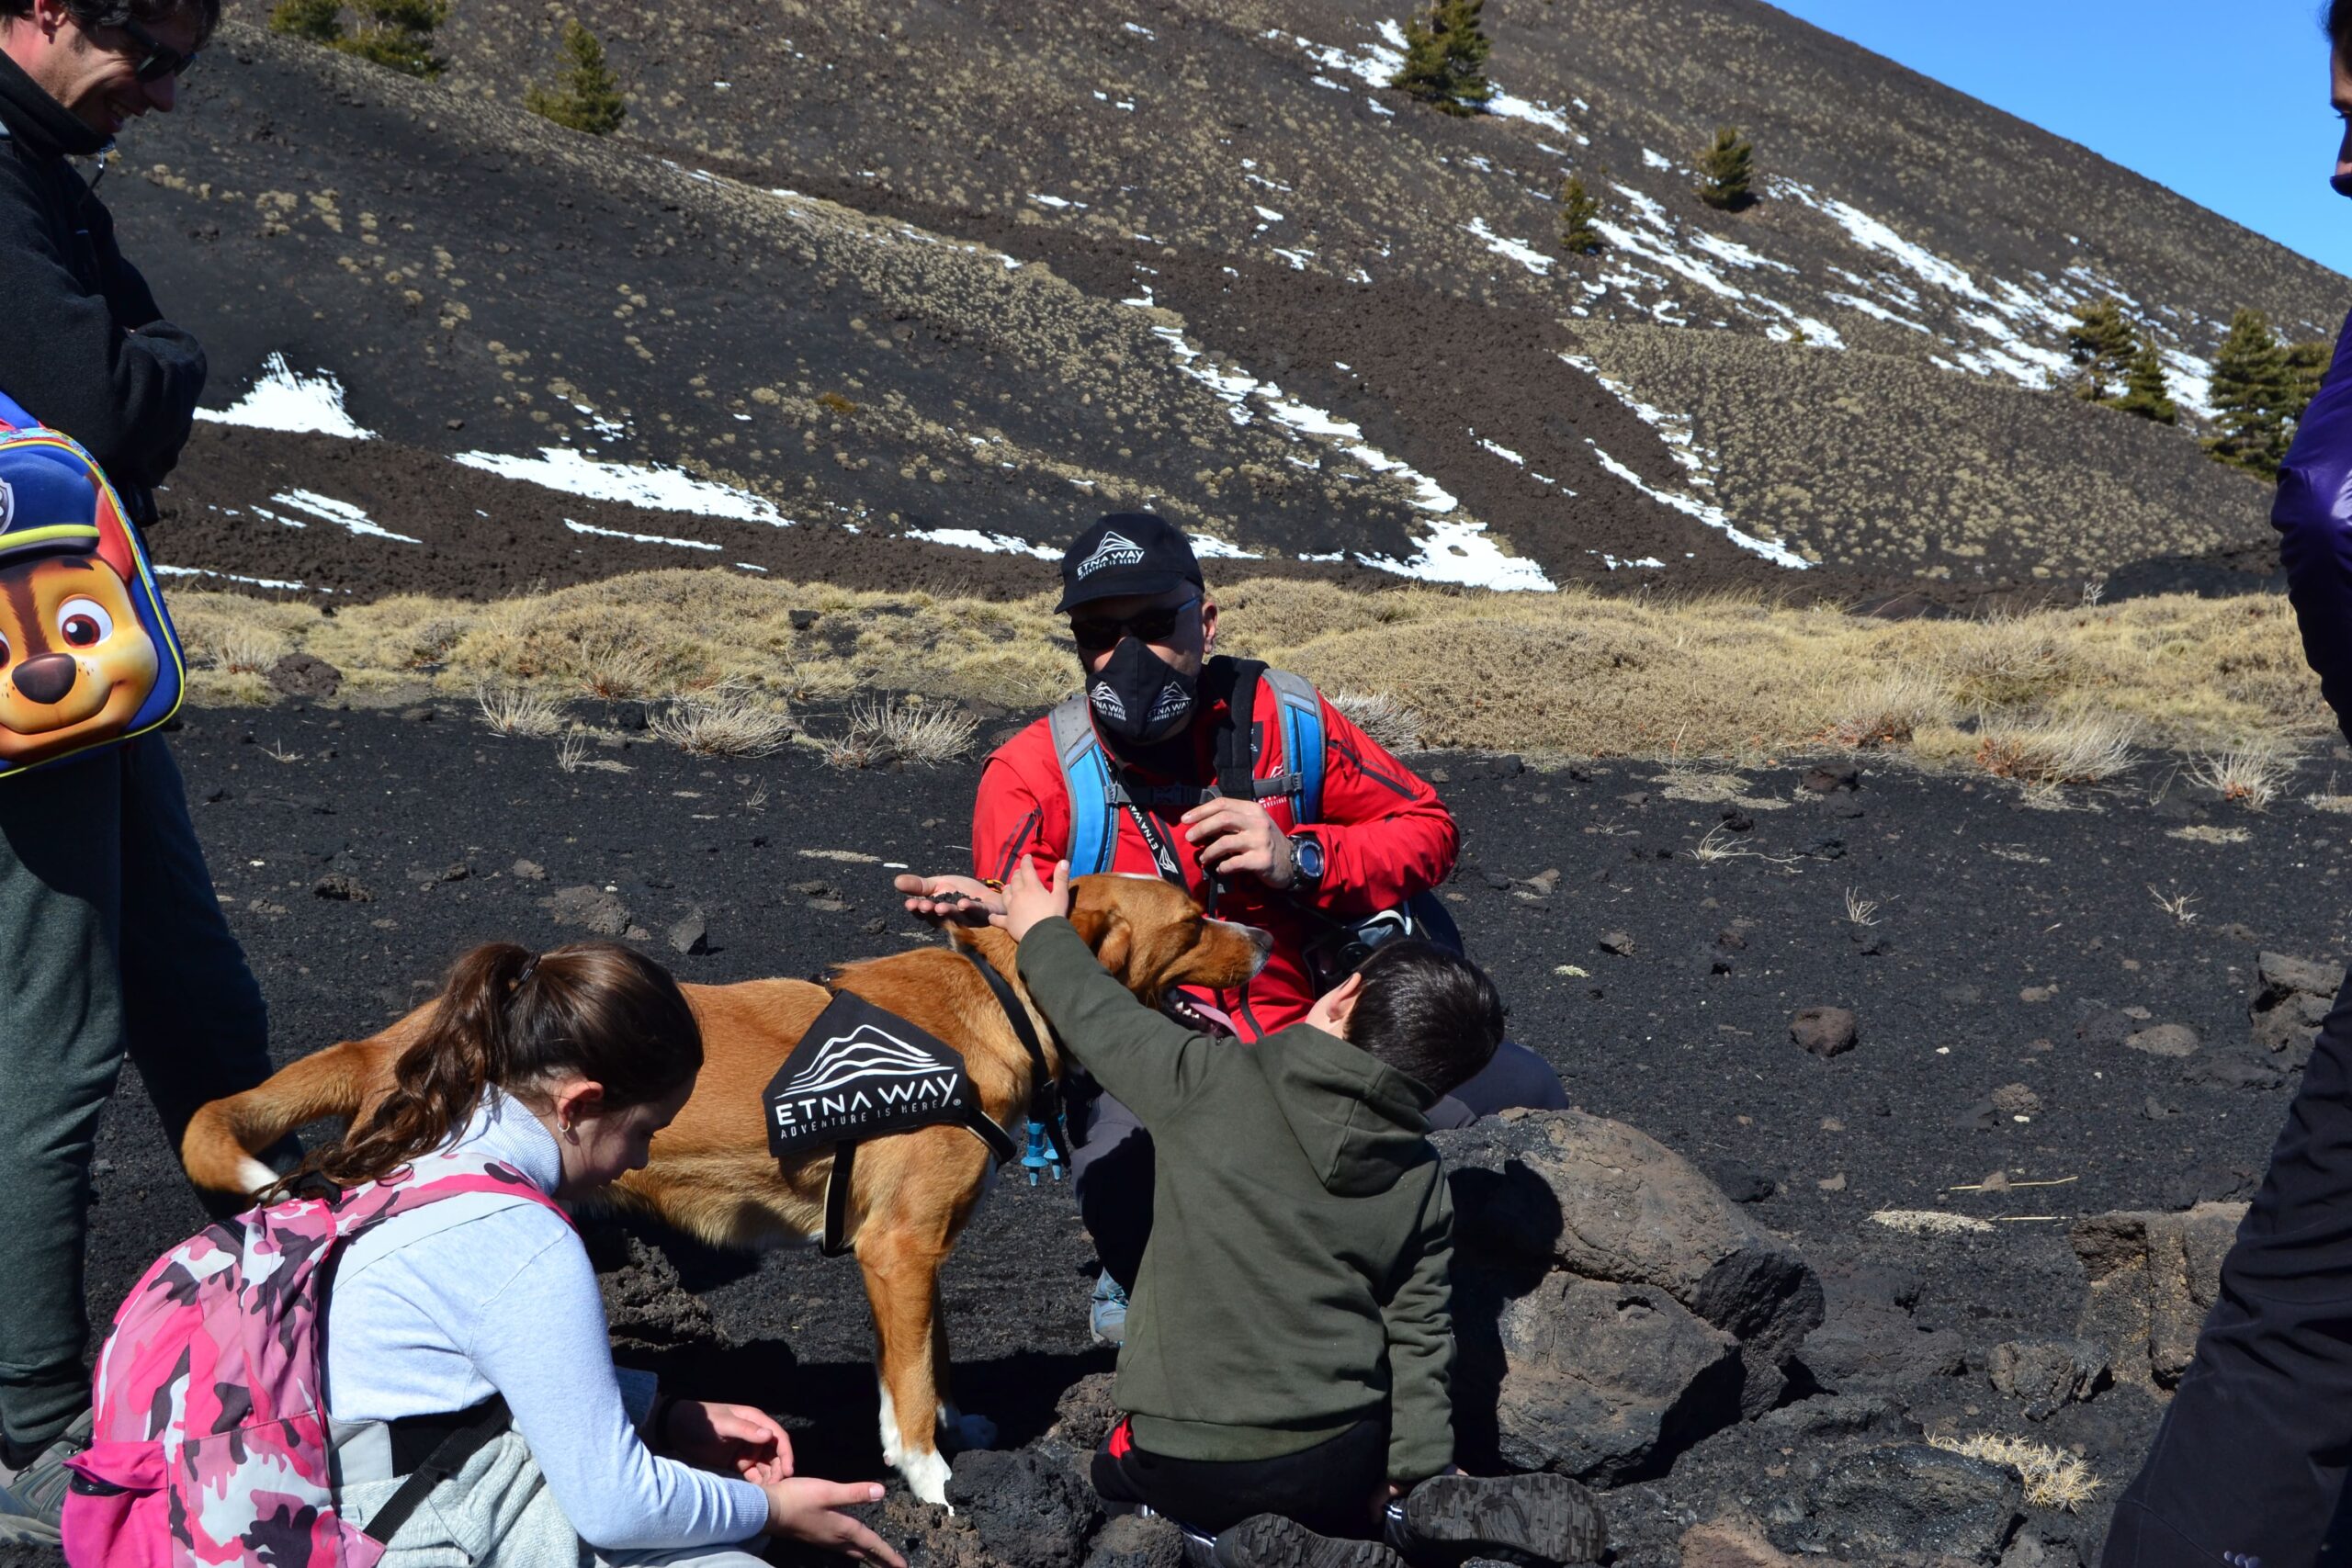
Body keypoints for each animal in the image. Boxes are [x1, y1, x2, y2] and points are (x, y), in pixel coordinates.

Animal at [178, 879, 1270, 1504]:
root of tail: (397, 1040)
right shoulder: (899, 1247)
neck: (997, 994)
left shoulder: (909, 1249)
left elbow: (924, 1361)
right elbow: (914, 1382)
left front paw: (948, 1433)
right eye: (1194, 921)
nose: (1266, 943)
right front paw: (928, 1474)